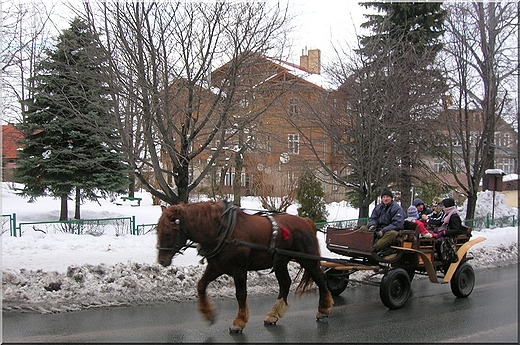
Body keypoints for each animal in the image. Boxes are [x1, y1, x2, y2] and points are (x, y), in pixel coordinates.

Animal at [155, 200, 334, 332]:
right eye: (158, 231)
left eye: (168, 233)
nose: (162, 260)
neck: (223, 230)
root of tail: (307, 221)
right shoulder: (216, 267)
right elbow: (201, 285)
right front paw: (208, 313)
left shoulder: (239, 270)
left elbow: (241, 294)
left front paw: (239, 322)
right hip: (280, 262)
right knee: (285, 283)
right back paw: (273, 314)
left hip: (308, 259)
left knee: (320, 278)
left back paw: (323, 309)